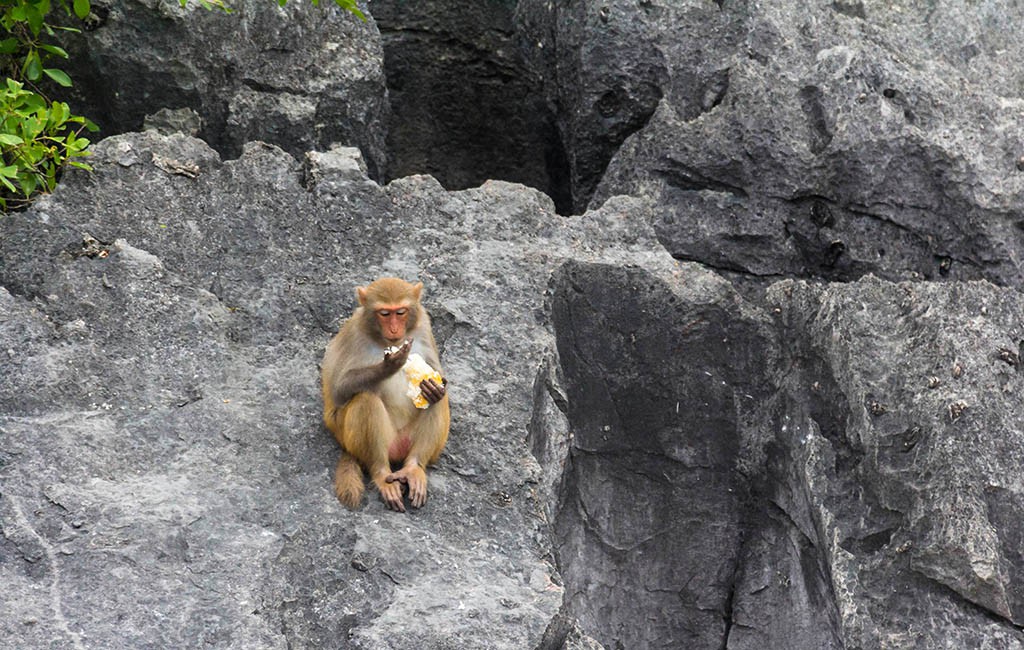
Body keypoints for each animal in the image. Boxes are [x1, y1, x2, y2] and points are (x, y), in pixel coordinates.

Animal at [319, 276, 448, 511]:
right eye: (385, 314)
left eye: (401, 312)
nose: (395, 330)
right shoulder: (354, 333)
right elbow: (339, 390)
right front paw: (388, 367)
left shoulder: (423, 325)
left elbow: (436, 375)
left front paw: (435, 387)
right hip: (353, 439)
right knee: (365, 399)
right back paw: (381, 473)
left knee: (438, 400)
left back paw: (414, 468)